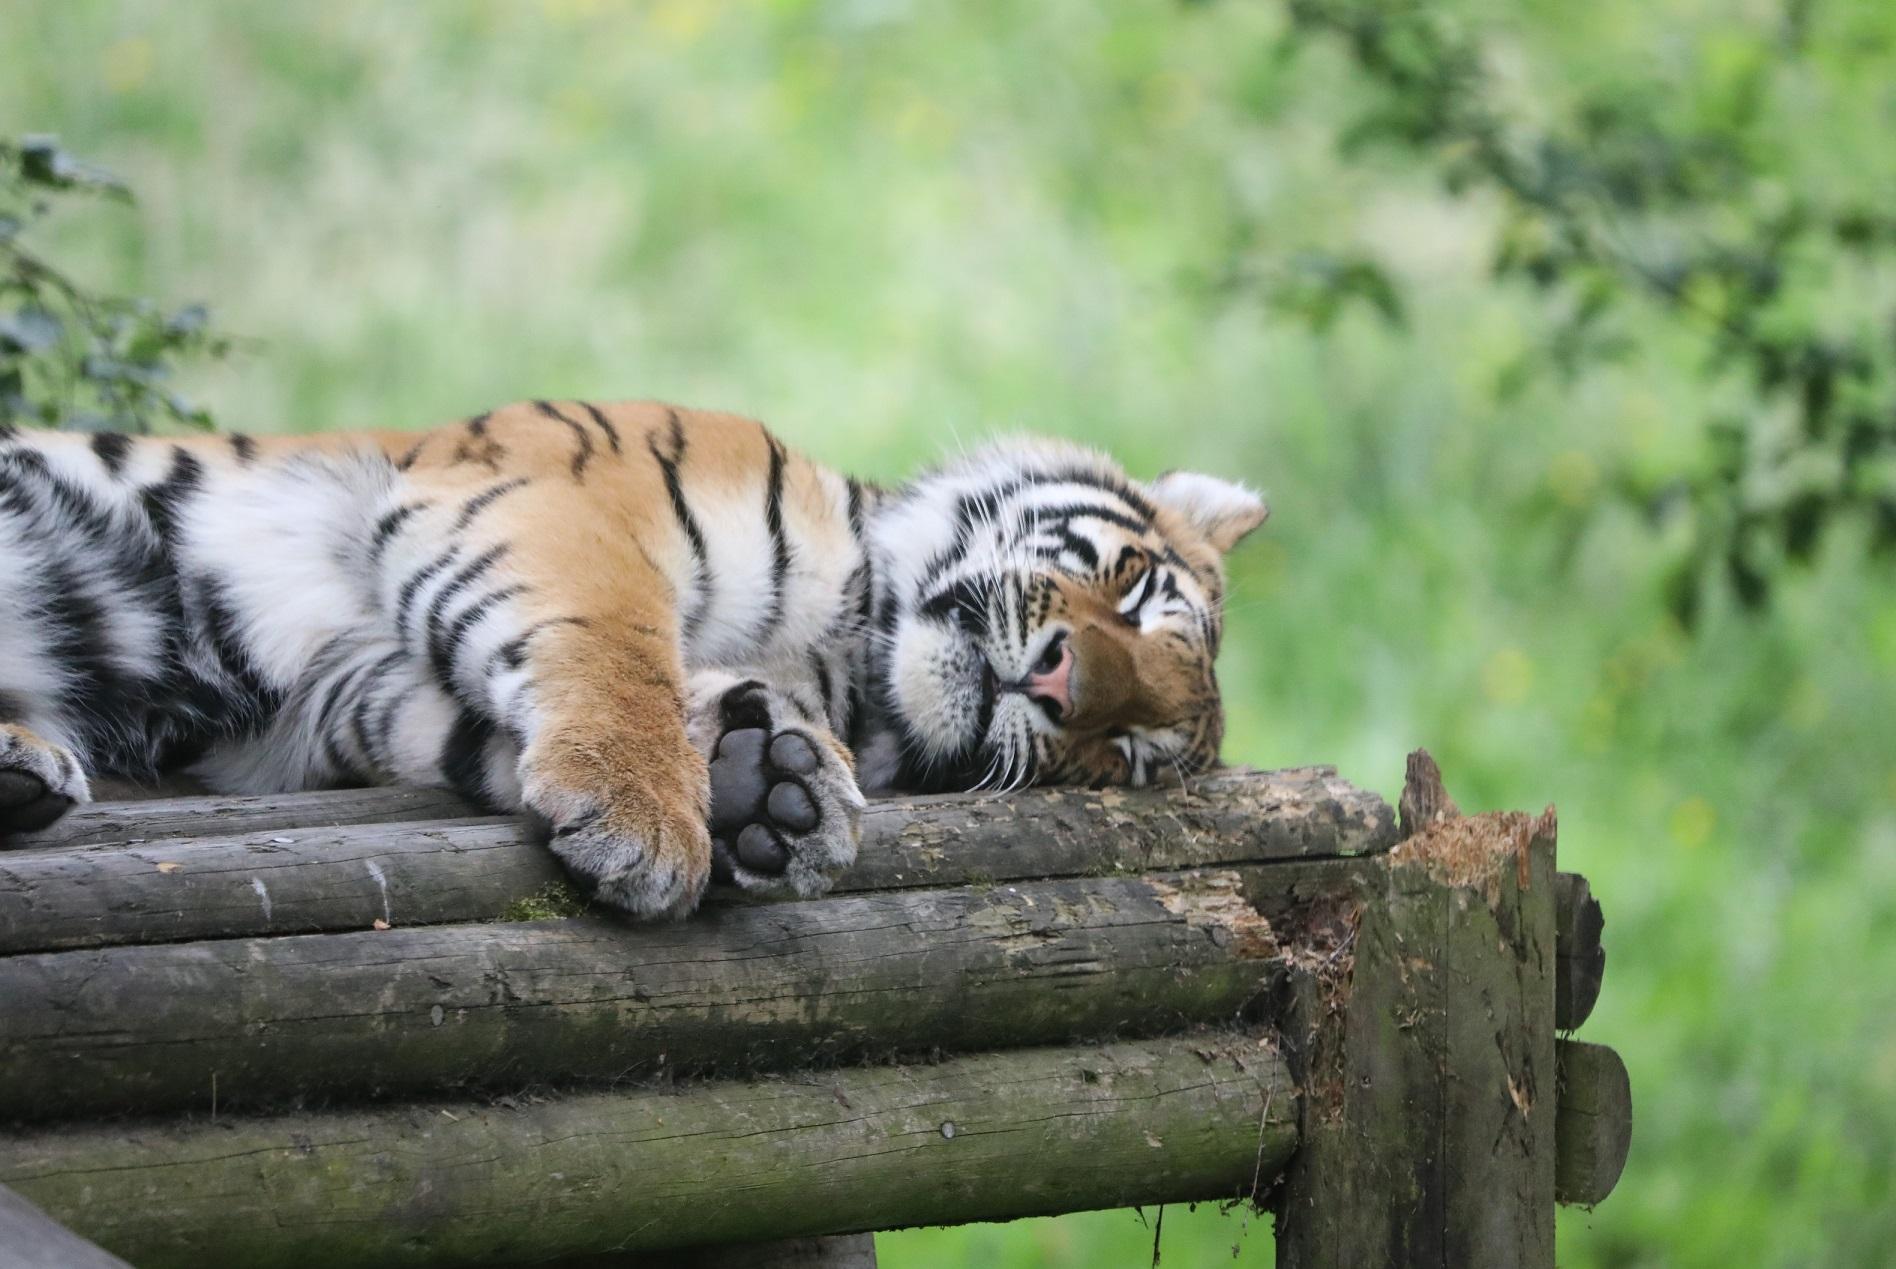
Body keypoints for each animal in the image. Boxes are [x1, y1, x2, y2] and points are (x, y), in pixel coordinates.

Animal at [0, 402, 1267, 916]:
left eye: (1124, 755)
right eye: (1137, 590)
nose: (1062, 688)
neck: (851, 654)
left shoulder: (349, 691)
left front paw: (771, 788)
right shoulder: (552, 497)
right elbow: (613, 643)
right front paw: (651, 817)